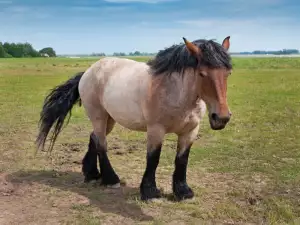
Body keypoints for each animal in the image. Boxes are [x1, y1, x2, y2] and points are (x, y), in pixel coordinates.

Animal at [35, 36, 232, 201]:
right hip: (98, 116)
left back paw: (91, 174)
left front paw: (183, 191)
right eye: (202, 73)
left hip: (109, 119)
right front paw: (150, 192)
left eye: (227, 73)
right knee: (101, 144)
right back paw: (111, 179)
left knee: (94, 138)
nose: (221, 117)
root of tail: (88, 71)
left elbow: (182, 159)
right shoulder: (156, 130)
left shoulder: (190, 131)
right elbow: (153, 158)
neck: (175, 92)